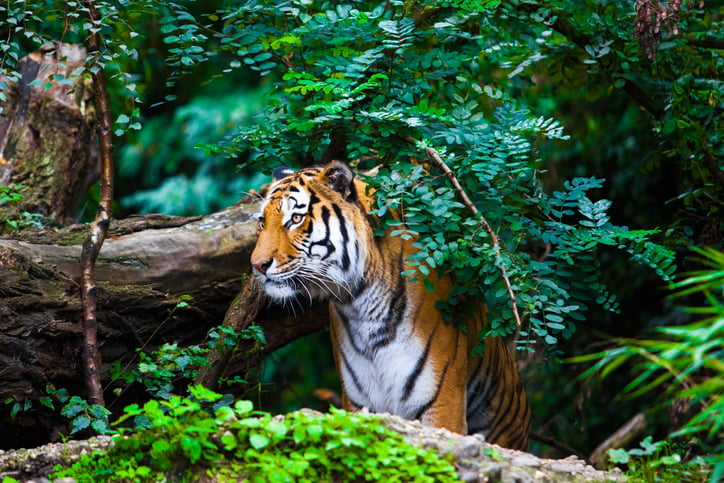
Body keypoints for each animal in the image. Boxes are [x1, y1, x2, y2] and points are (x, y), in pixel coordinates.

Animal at [252, 162, 528, 450]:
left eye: (296, 219)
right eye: (262, 222)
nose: (257, 265)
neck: (360, 304)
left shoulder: (442, 402)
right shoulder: (359, 402)